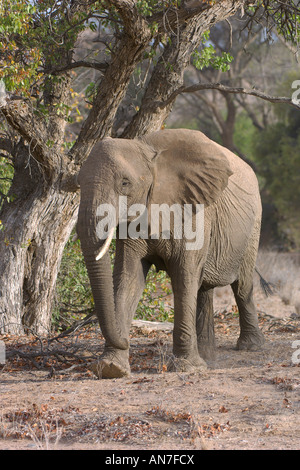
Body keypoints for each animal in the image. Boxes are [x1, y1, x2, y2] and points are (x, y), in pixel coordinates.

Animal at [76, 127, 264, 378]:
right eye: (77, 184)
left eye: (125, 183)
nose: (126, 341)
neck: (148, 152)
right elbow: (129, 278)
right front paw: (111, 368)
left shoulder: (194, 213)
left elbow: (184, 277)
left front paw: (187, 368)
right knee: (204, 288)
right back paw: (207, 355)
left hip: (253, 226)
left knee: (242, 286)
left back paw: (249, 347)